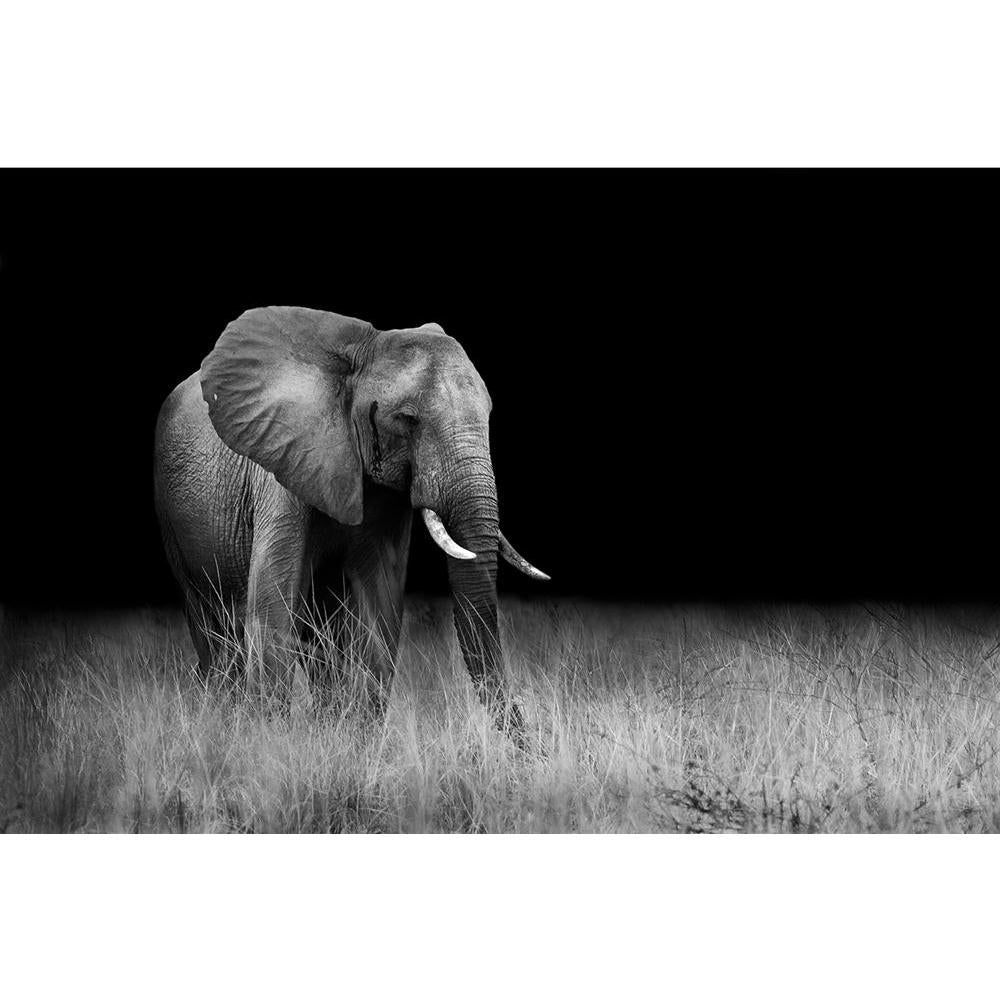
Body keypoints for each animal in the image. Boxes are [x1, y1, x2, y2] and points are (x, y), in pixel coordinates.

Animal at [153, 306, 547, 738]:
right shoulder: (282, 466)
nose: (533, 740)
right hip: (171, 518)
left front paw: (355, 740)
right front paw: (270, 740)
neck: (361, 353)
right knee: (212, 627)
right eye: (408, 419)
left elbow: (380, 608)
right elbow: (271, 606)